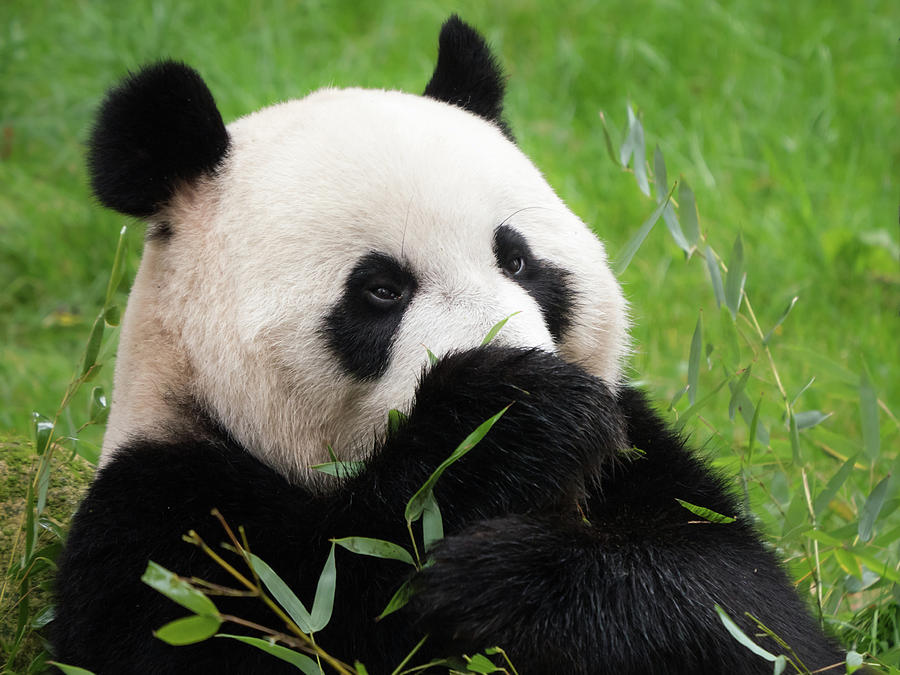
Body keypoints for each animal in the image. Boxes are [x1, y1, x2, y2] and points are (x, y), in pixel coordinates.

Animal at [54, 15, 844, 675]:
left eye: (517, 260)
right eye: (381, 289)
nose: (518, 352)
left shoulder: (640, 455)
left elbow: (749, 612)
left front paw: (507, 577)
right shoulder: (161, 510)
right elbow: (274, 624)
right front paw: (507, 415)